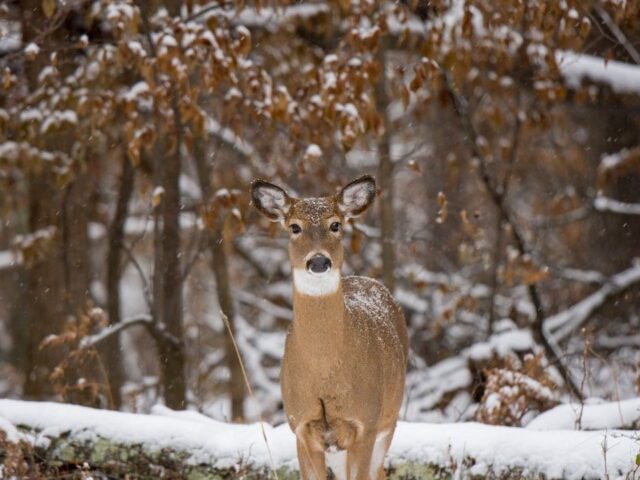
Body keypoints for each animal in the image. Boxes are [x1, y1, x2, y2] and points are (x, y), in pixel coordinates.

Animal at [251, 176, 408, 480]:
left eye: (335, 224)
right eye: (294, 226)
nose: (319, 261)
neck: (324, 372)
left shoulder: (365, 422)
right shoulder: (301, 427)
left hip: (389, 418)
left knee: (379, 470)